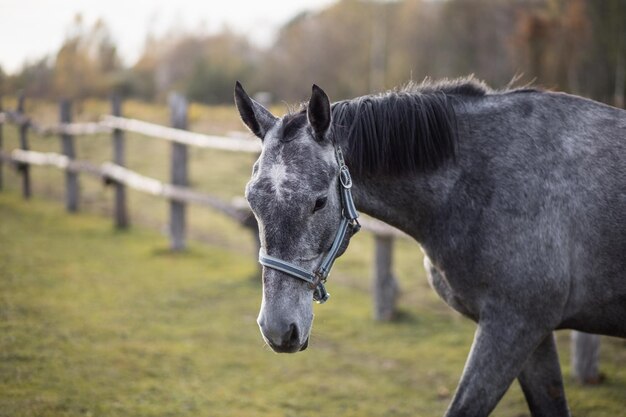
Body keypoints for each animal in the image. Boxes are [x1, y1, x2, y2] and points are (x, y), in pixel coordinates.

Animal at [234, 78, 624, 416]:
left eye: (318, 202)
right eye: (252, 200)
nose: (278, 330)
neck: (485, 178)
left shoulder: (513, 325)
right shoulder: (534, 333)